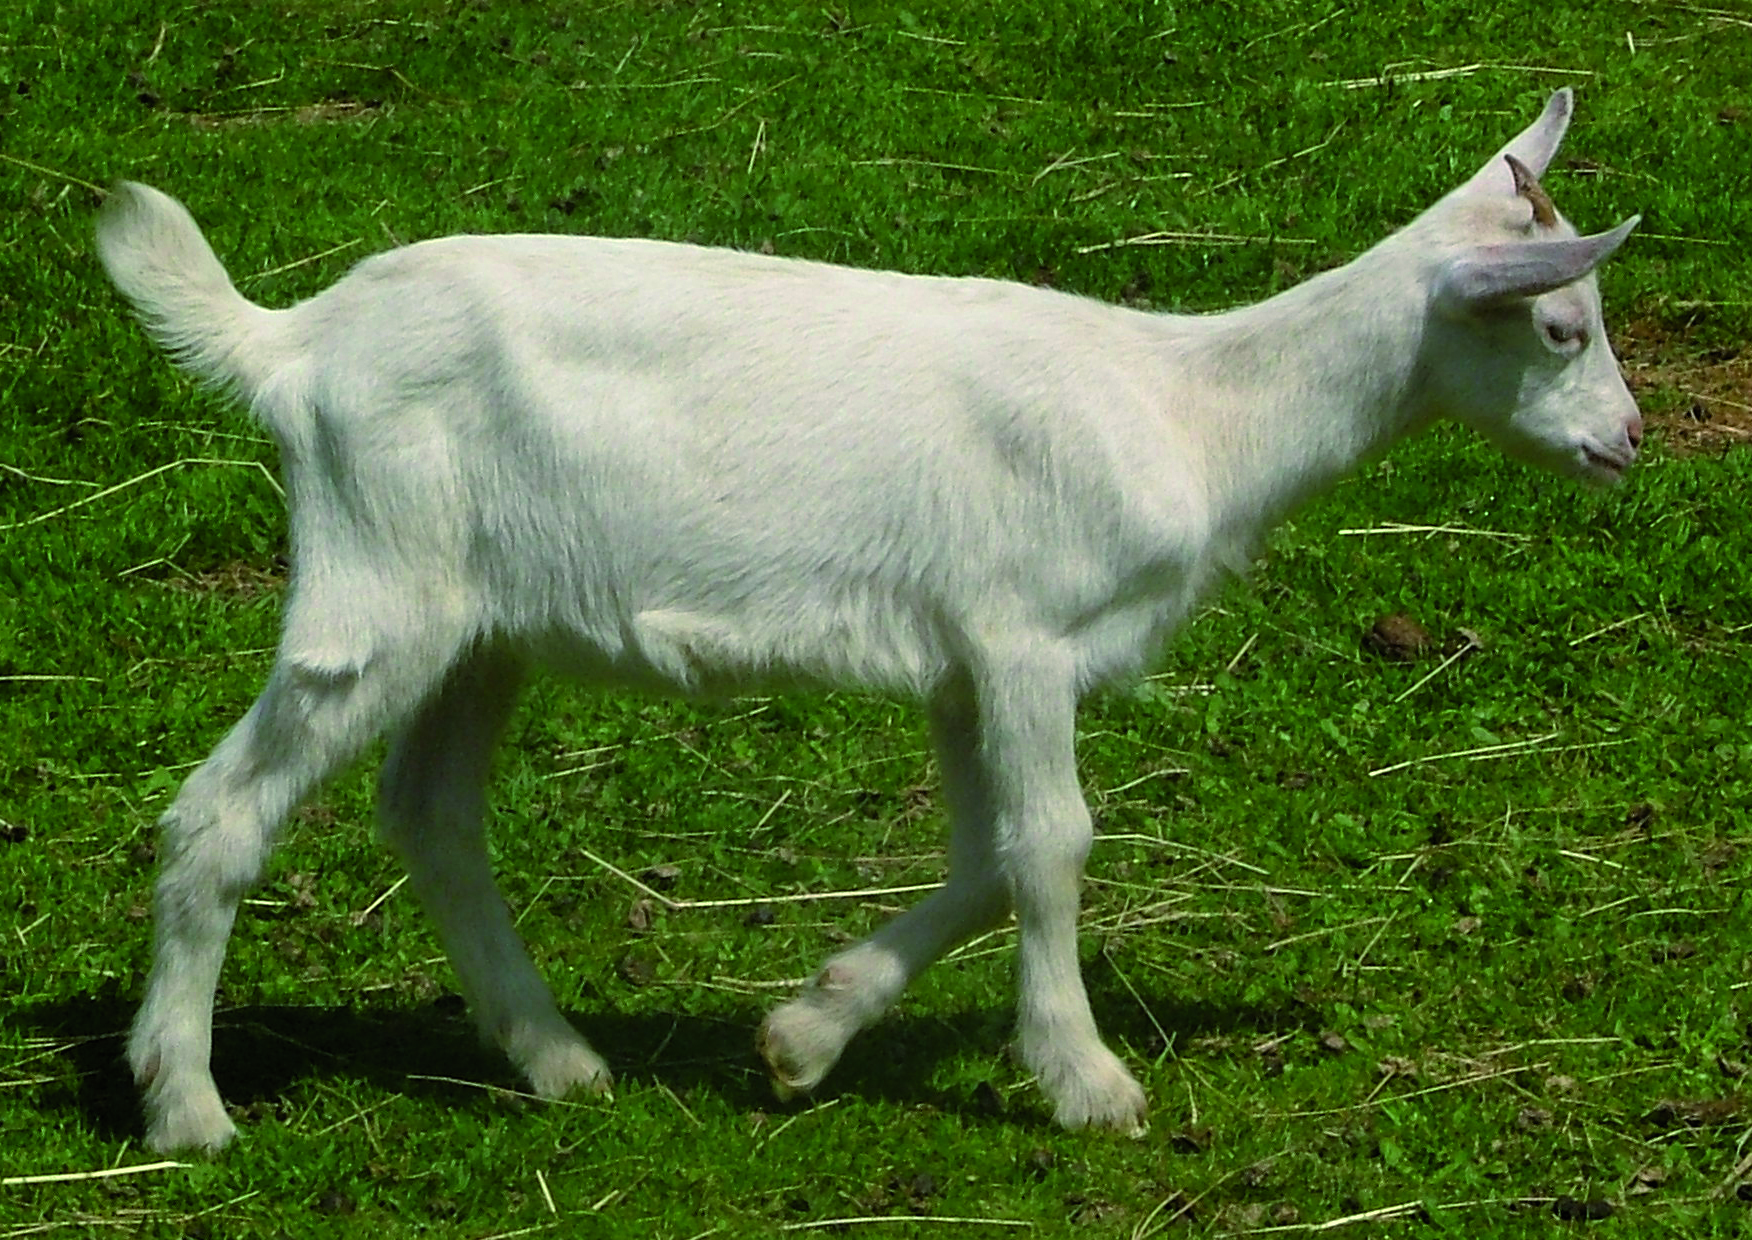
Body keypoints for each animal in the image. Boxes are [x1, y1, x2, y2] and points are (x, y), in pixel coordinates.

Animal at [99, 89, 1639, 1155]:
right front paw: (1088, 1082)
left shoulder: (966, 662)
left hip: (481, 624)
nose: (1628, 443)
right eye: (1560, 330)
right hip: (377, 577)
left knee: (429, 809)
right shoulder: (1023, 630)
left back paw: (559, 1060)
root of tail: (291, 346)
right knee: (221, 810)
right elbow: (1052, 843)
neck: (1194, 407)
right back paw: (187, 1109)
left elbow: (987, 859)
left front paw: (802, 1035)